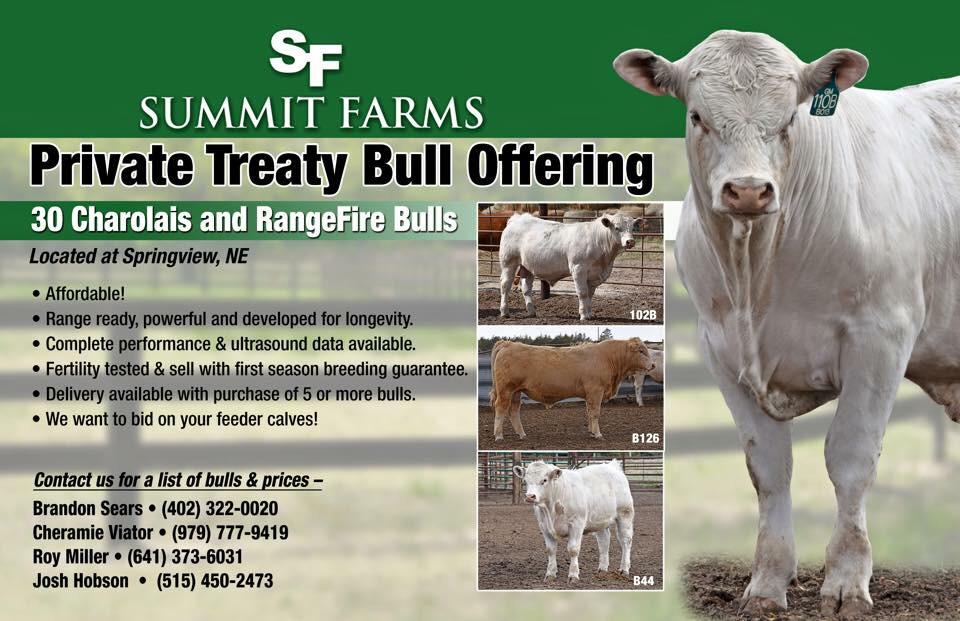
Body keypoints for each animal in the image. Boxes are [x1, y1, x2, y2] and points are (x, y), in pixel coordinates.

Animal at [489, 337, 652, 441]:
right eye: (641, 351)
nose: (653, 365)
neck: (607, 358)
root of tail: (507, 344)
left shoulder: (590, 395)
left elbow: (589, 412)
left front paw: (592, 432)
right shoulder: (596, 391)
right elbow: (595, 413)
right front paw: (598, 434)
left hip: (516, 392)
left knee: (514, 411)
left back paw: (522, 434)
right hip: (505, 390)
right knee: (501, 408)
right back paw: (498, 435)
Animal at [498, 212, 637, 320]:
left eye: (632, 228)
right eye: (617, 228)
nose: (630, 241)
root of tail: (518, 218)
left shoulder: (594, 274)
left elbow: (590, 294)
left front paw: (590, 314)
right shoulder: (578, 268)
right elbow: (582, 293)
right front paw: (583, 315)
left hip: (527, 267)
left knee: (526, 288)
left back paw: (531, 312)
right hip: (508, 262)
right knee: (505, 285)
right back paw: (504, 312)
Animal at [615, 30, 960, 616]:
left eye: (789, 120)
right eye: (697, 116)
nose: (749, 190)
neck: (760, 278)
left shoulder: (881, 338)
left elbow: (850, 460)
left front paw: (846, 582)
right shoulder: (721, 352)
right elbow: (769, 470)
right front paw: (767, 584)